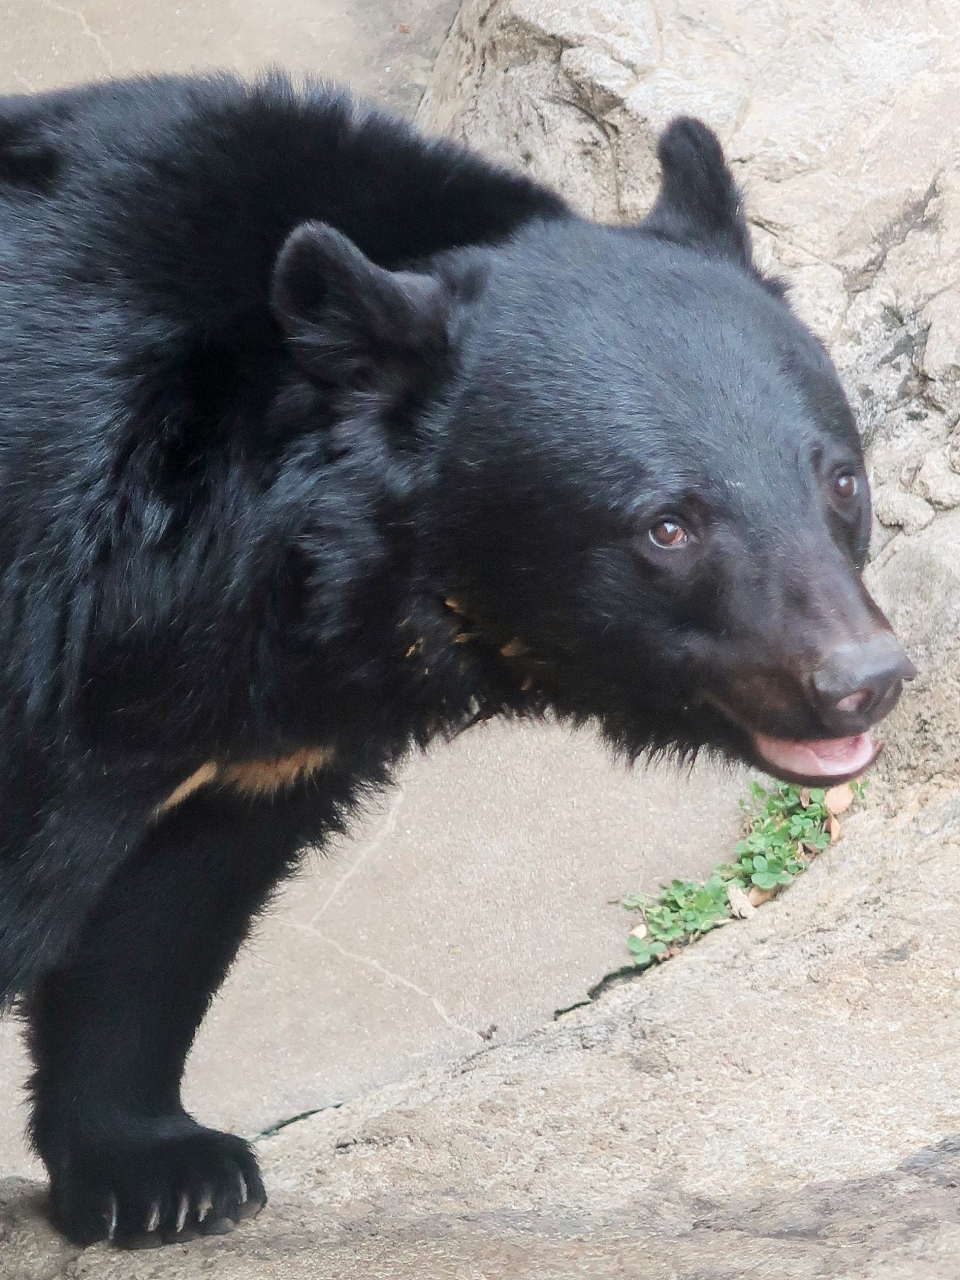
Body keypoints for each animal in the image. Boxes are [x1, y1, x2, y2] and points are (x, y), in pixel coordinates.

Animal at [0, 74, 911, 1244]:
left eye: (841, 479)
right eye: (667, 526)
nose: (861, 679)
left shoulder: (253, 732)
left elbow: (161, 916)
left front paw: (160, 1171)